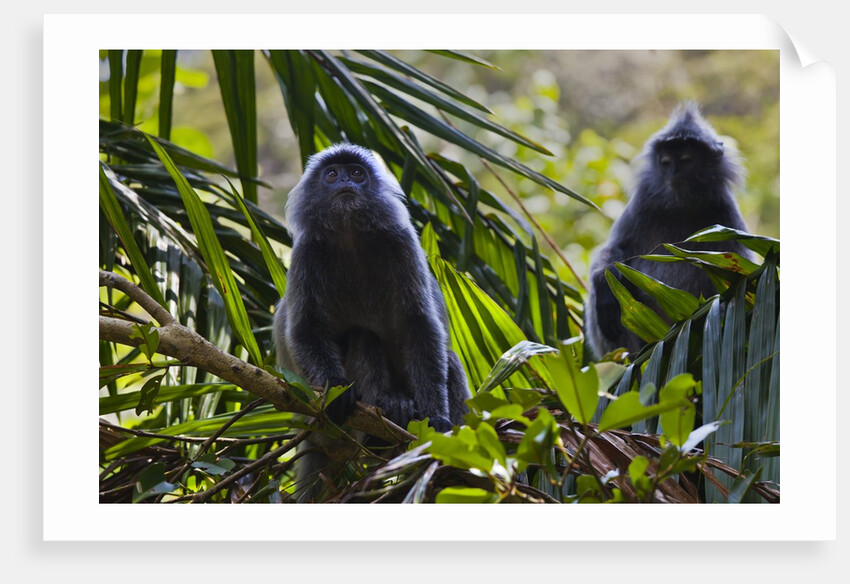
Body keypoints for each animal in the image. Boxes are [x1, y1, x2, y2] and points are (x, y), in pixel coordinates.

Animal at [273, 143, 470, 501]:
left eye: (356, 173)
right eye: (332, 174)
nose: (345, 183)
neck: (350, 234)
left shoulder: (402, 243)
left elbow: (421, 327)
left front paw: (436, 417)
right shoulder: (307, 252)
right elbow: (305, 329)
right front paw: (337, 389)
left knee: (445, 356)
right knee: (364, 336)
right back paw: (385, 411)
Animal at [585, 102, 753, 358]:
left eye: (685, 160)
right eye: (665, 162)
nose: (673, 174)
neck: (682, 204)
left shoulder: (724, 212)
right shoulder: (644, 201)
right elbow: (616, 249)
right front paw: (606, 282)